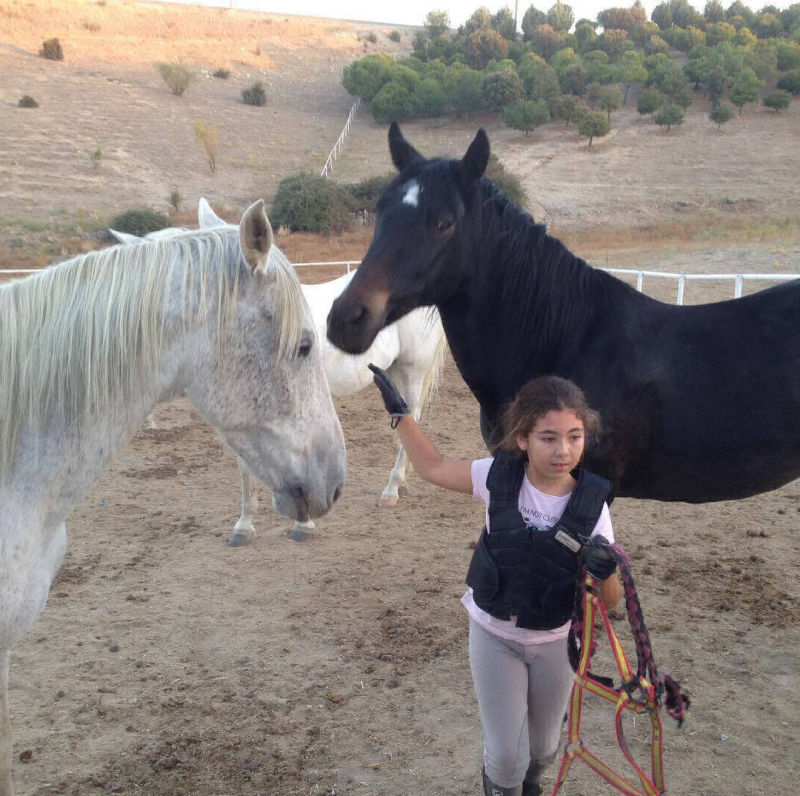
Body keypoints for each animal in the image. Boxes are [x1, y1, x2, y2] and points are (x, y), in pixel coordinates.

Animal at [112, 199, 447, 543]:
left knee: (411, 414)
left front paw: (303, 524)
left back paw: (391, 488)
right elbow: (248, 465)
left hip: (413, 369)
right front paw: (245, 524)